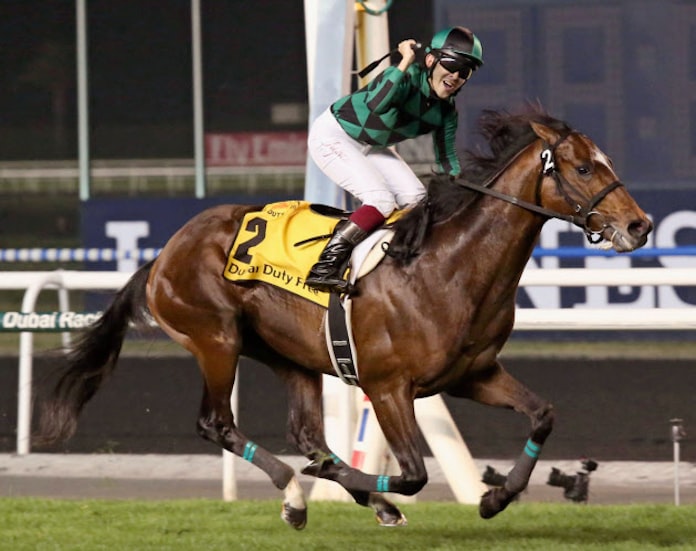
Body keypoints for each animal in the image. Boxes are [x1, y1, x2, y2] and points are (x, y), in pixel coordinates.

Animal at [35, 106, 652, 529]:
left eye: (607, 163)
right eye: (582, 167)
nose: (640, 225)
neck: (449, 267)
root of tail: (163, 254)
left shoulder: (472, 374)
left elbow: (542, 415)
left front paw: (498, 496)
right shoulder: (387, 386)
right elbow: (414, 473)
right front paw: (357, 485)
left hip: (287, 354)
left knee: (307, 432)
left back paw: (345, 492)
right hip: (215, 339)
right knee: (218, 423)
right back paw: (296, 490)